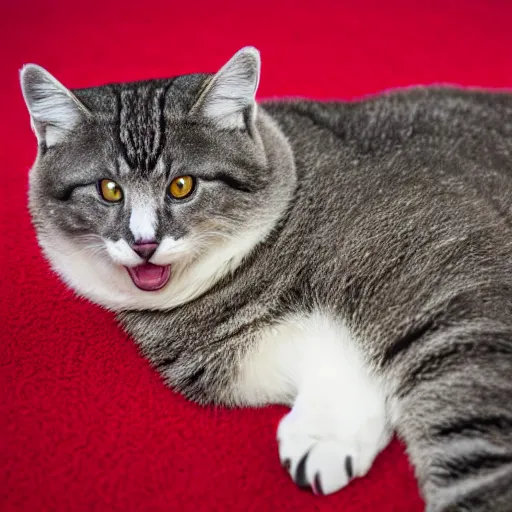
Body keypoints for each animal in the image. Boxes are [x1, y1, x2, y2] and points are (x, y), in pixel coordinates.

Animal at [18, 47, 512, 508]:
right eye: (109, 190)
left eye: (182, 185)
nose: (144, 242)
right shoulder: (228, 355)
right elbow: (323, 350)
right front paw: (330, 430)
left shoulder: (453, 267)